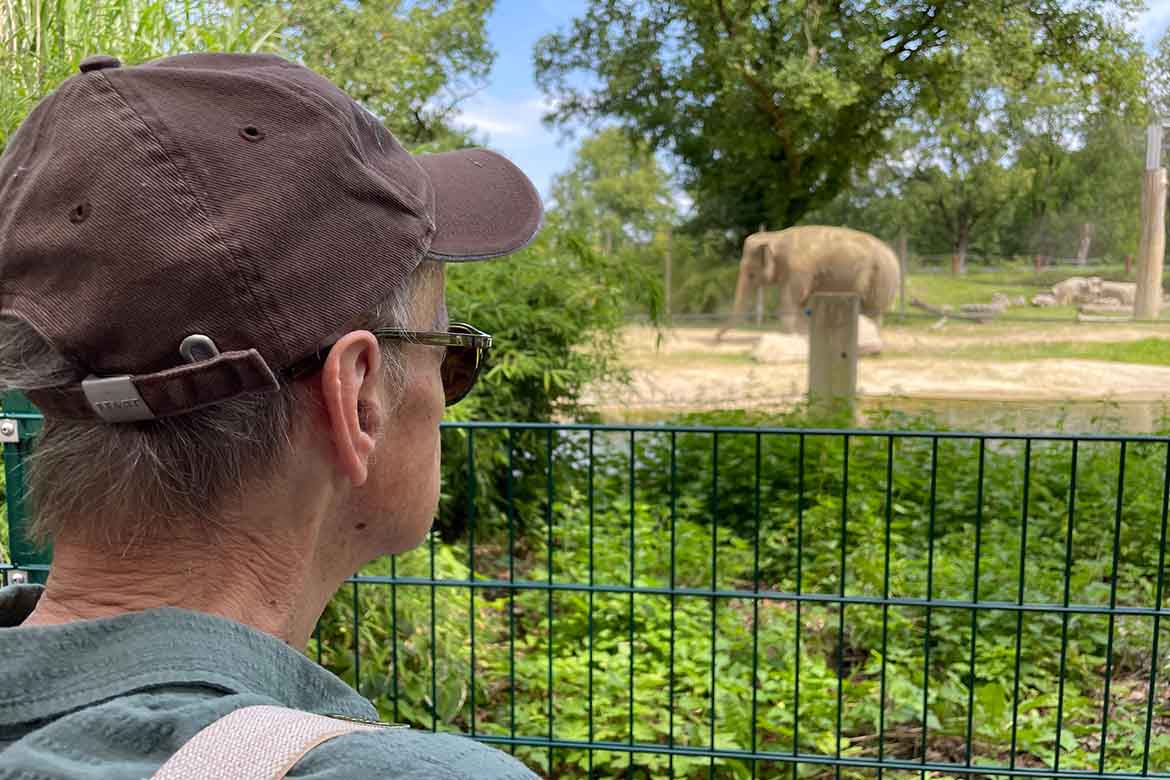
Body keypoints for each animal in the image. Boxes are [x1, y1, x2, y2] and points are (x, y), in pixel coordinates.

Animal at [716, 224, 898, 336]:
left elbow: (790, 300)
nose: (716, 341)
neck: (774, 236)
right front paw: (802, 334)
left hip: (880, 279)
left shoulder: (798, 270)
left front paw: (791, 335)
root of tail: (893, 256)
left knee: (872, 311)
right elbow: (801, 304)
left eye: (751, 274)